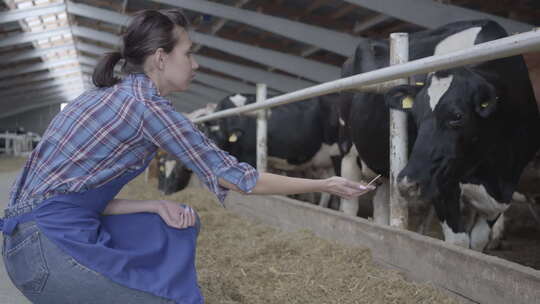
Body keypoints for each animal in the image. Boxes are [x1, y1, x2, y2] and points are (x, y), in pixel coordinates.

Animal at [340, 19, 536, 252]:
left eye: (457, 116)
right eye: (414, 115)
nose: (407, 183)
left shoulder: (501, 195)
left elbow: (478, 242)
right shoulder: (444, 185)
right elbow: (458, 242)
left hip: (385, 173)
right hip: (347, 151)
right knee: (348, 203)